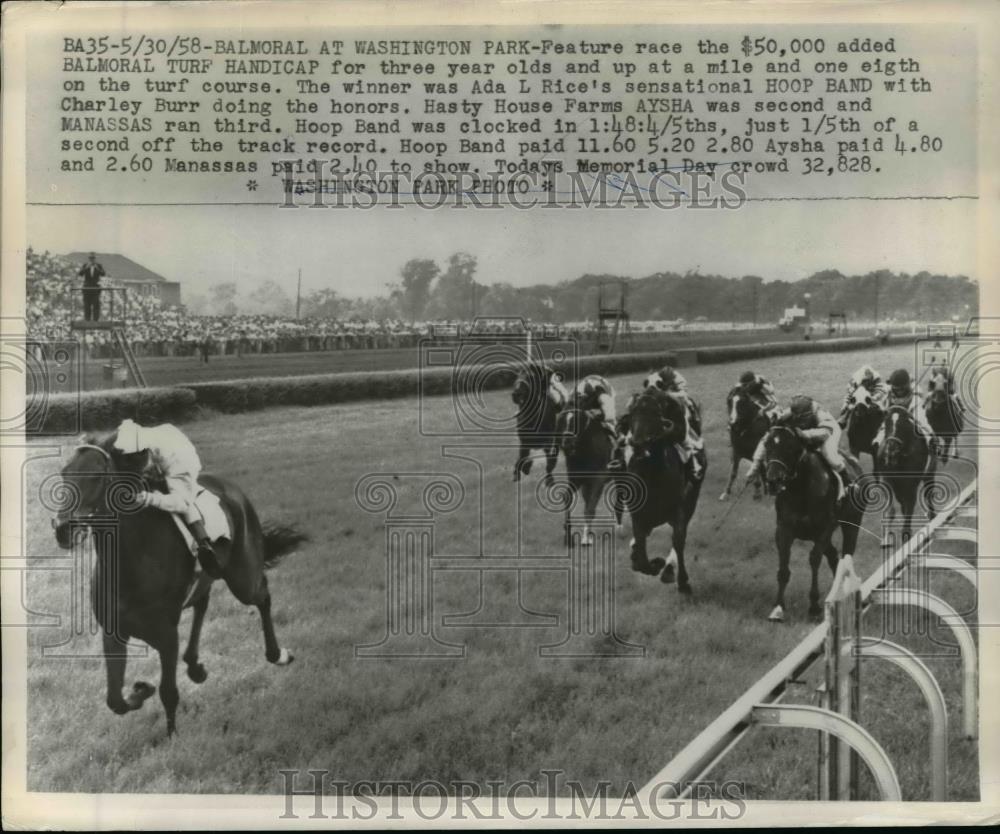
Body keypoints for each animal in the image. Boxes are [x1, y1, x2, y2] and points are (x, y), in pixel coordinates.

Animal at [52, 438, 302, 732]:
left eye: (98, 475)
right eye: (64, 473)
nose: (63, 529)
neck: (129, 563)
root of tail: (233, 489)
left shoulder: (167, 636)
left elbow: (168, 693)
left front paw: (172, 736)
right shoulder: (113, 633)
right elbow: (115, 700)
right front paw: (141, 689)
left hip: (243, 578)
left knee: (262, 595)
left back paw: (278, 654)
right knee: (203, 603)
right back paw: (195, 666)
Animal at [760, 426, 864, 620]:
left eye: (790, 447)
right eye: (767, 444)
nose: (773, 480)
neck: (801, 488)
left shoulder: (824, 529)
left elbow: (814, 559)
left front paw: (814, 605)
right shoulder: (784, 529)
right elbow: (783, 568)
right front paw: (778, 607)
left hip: (851, 525)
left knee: (846, 554)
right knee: (834, 557)